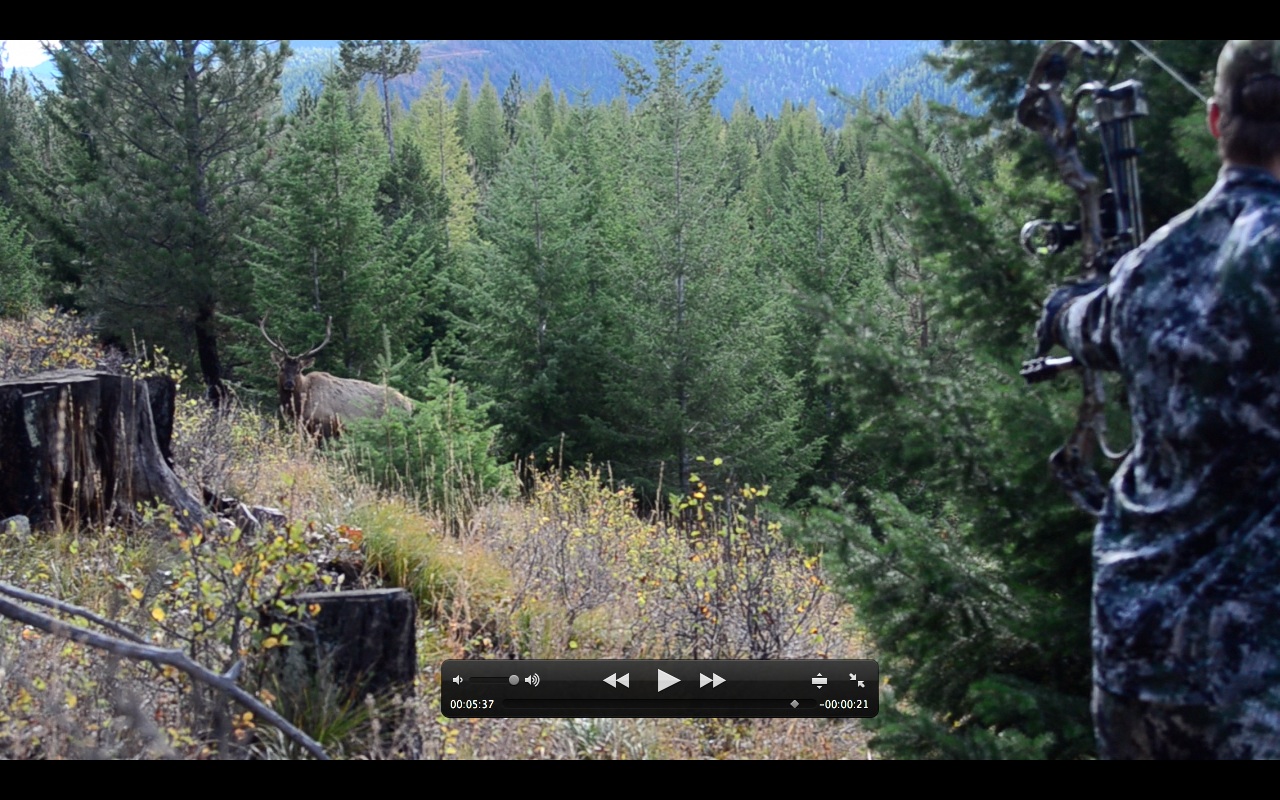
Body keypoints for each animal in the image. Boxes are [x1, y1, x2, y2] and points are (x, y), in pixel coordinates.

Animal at [260, 315, 413, 439]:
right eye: (282, 367)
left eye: (299, 370)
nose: (289, 384)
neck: (300, 406)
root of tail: (409, 405)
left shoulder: (325, 424)